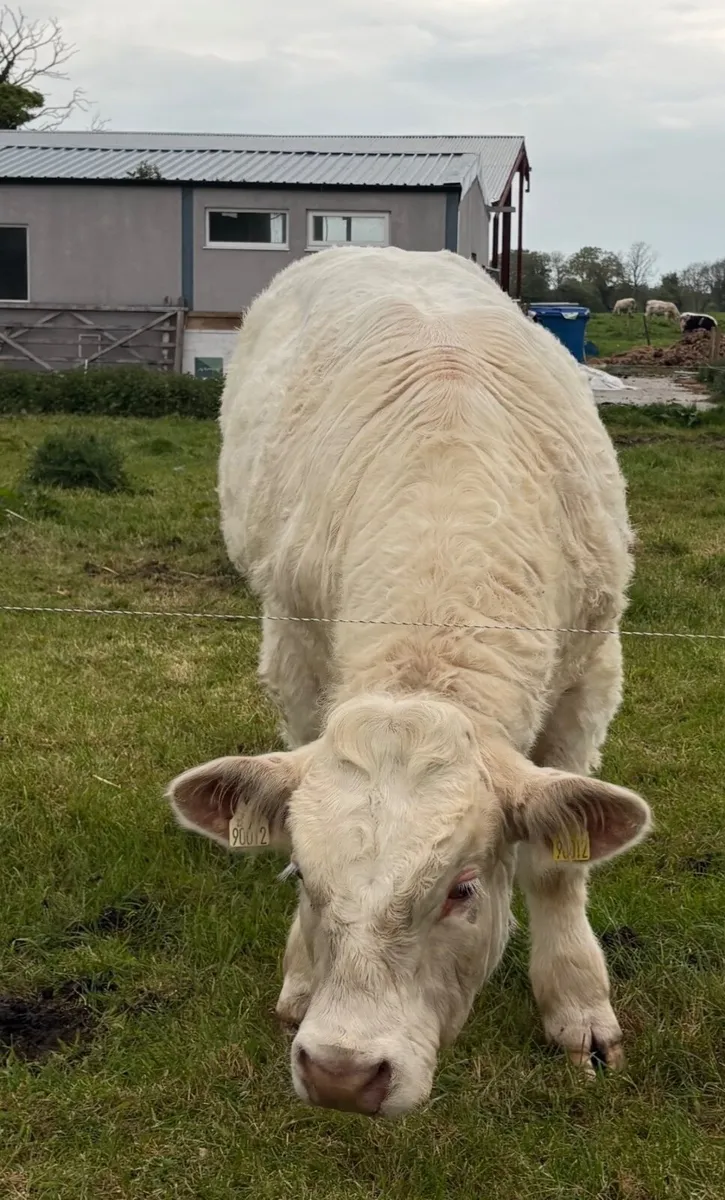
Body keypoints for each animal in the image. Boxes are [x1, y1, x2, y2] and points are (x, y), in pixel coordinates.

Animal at [167, 247, 651, 1118]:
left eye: (460, 890)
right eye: (306, 875)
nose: (341, 1071)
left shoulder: (591, 676)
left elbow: (557, 868)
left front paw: (577, 1007)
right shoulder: (295, 655)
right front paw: (301, 974)